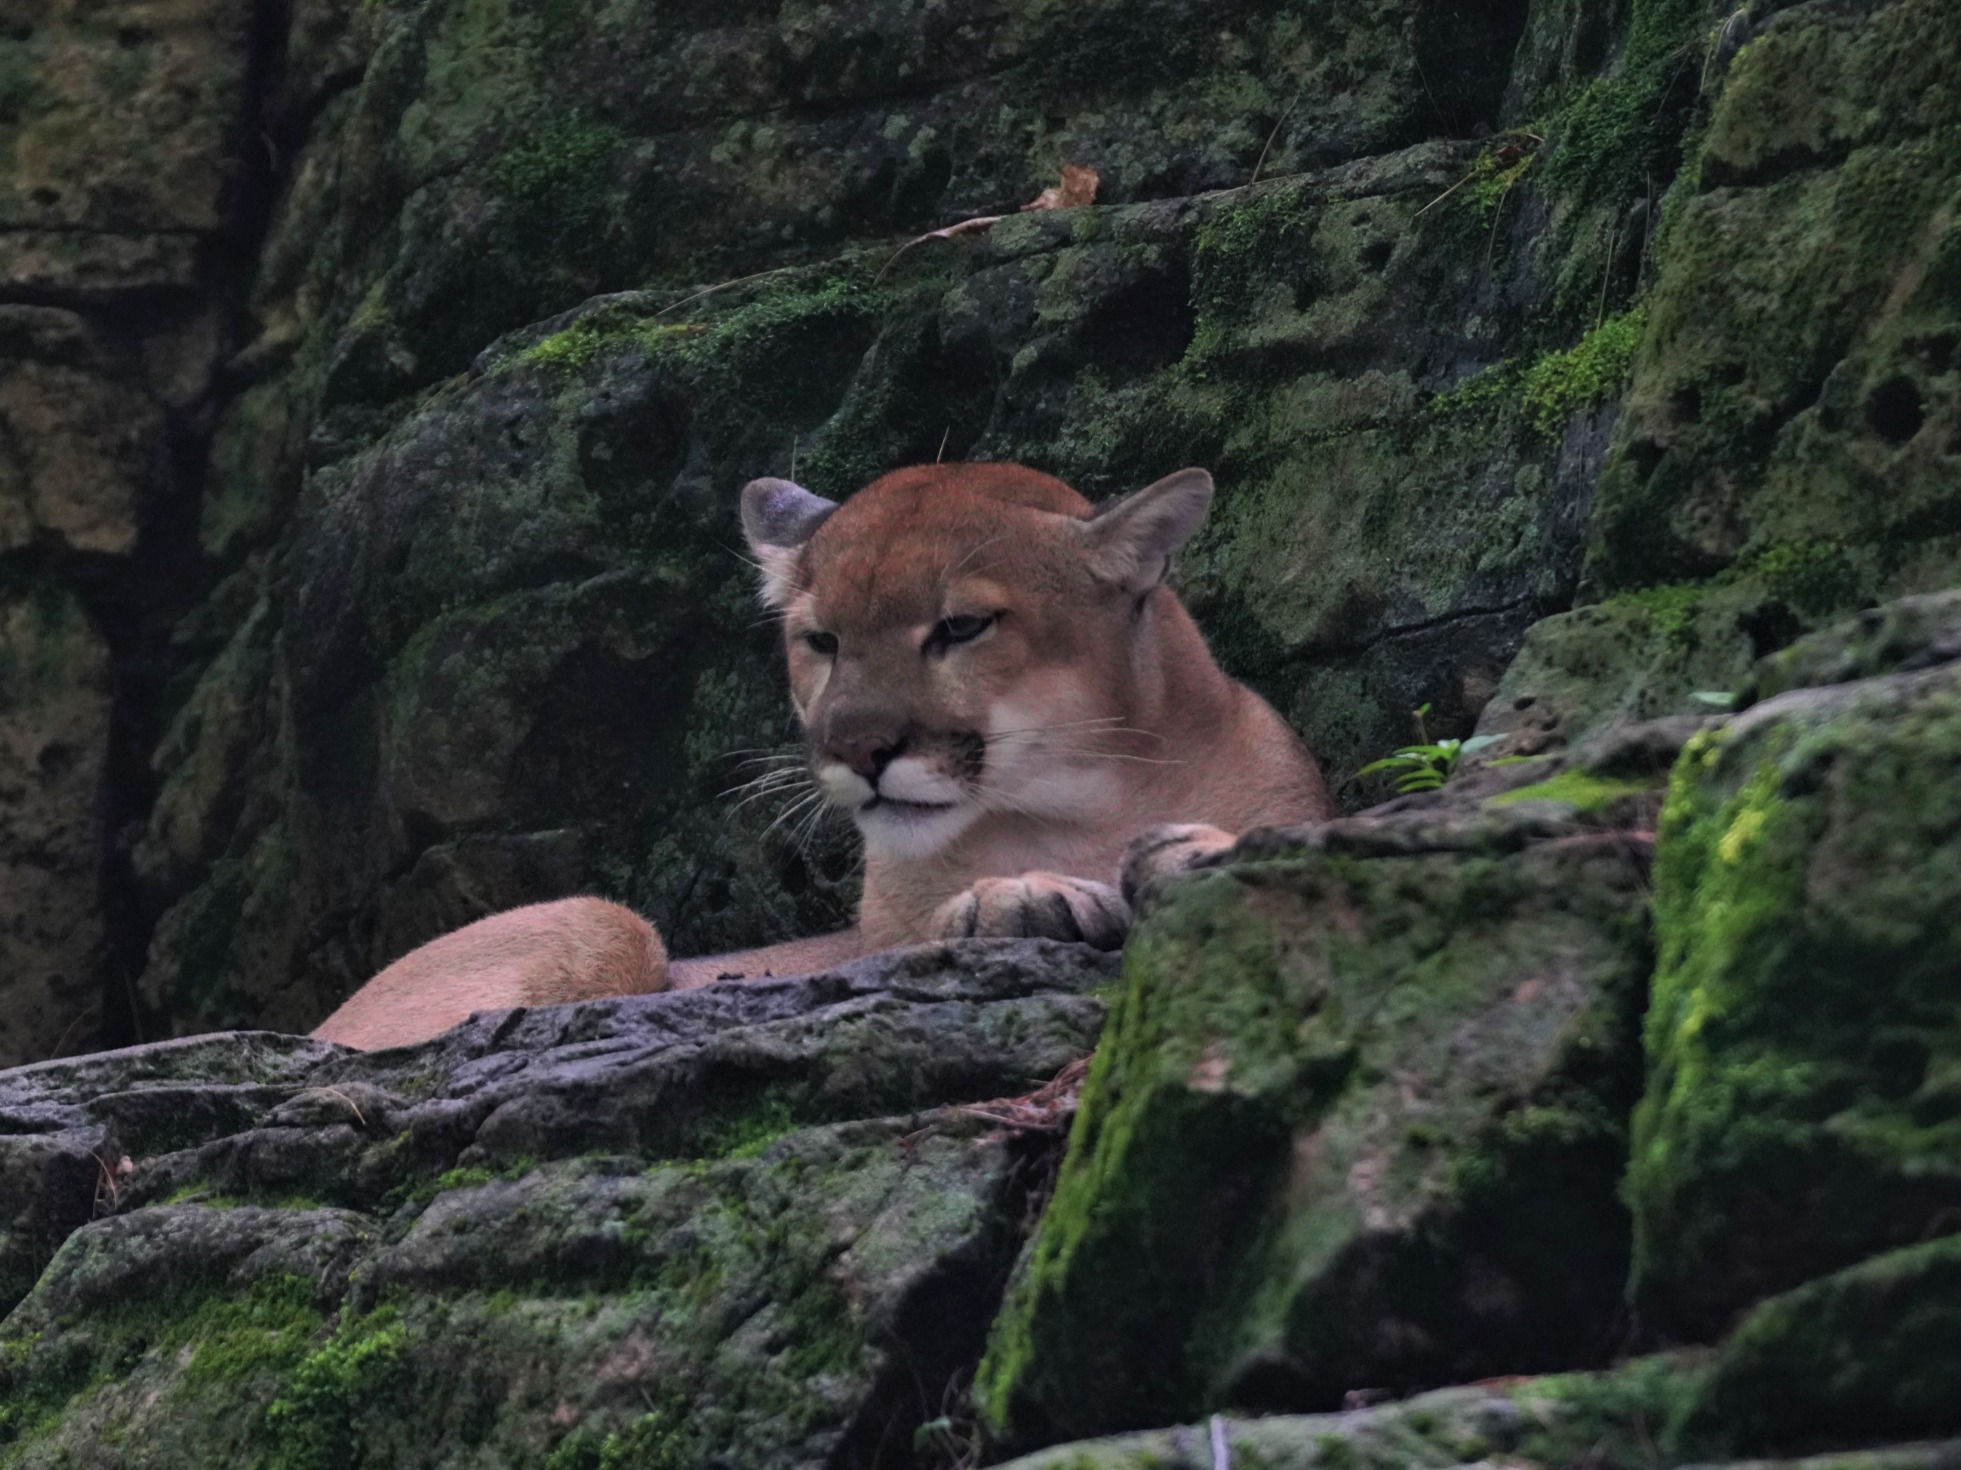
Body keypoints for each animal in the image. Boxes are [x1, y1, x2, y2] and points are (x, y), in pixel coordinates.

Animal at [312, 463, 1331, 1049]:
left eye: (961, 627)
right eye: (821, 640)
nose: (855, 746)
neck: (1079, 806)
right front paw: (1021, 897)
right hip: (603, 923)